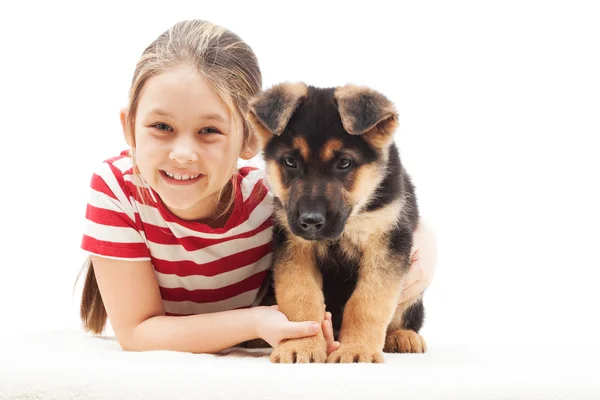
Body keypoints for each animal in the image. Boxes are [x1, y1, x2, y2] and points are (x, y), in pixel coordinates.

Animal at [246, 81, 424, 362]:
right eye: (290, 161)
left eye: (344, 163)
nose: (310, 221)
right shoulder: (293, 245)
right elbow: (301, 298)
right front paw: (302, 346)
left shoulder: (389, 242)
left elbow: (367, 302)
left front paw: (357, 349)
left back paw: (403, 336)